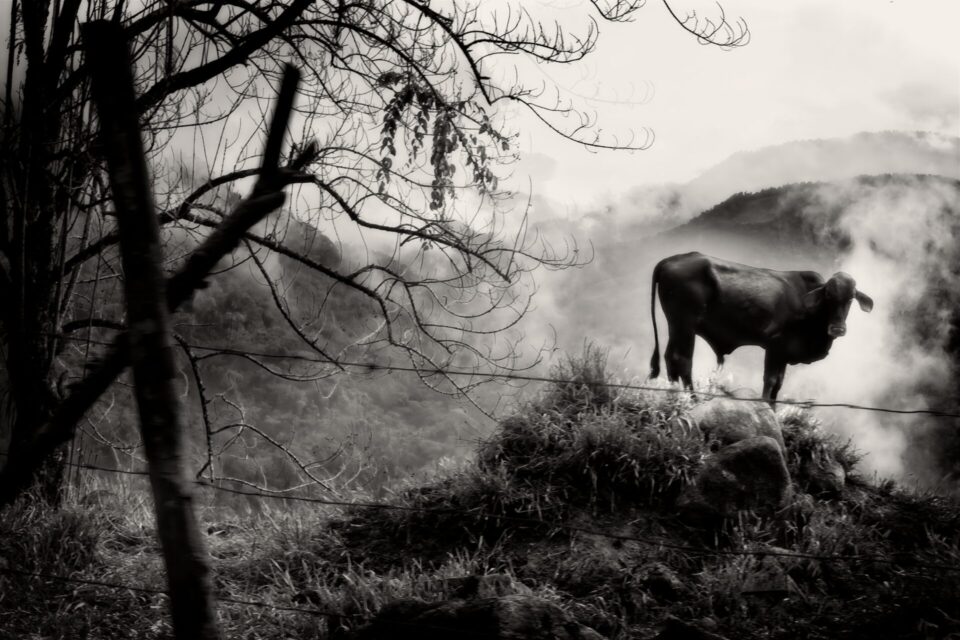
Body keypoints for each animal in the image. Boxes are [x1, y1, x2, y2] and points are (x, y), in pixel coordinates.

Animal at [649, 252, 873, 403]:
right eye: (828, 295)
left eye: (851, 298)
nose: (838, 329)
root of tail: (667, 261)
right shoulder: (774, 346)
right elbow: (770, 381)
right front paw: (765, 407)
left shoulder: (783, 354)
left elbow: (778, 385)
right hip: (685, 324)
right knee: (682, 360)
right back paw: (692, 399)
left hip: (676, 325)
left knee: (670, 358)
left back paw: (673, 395)